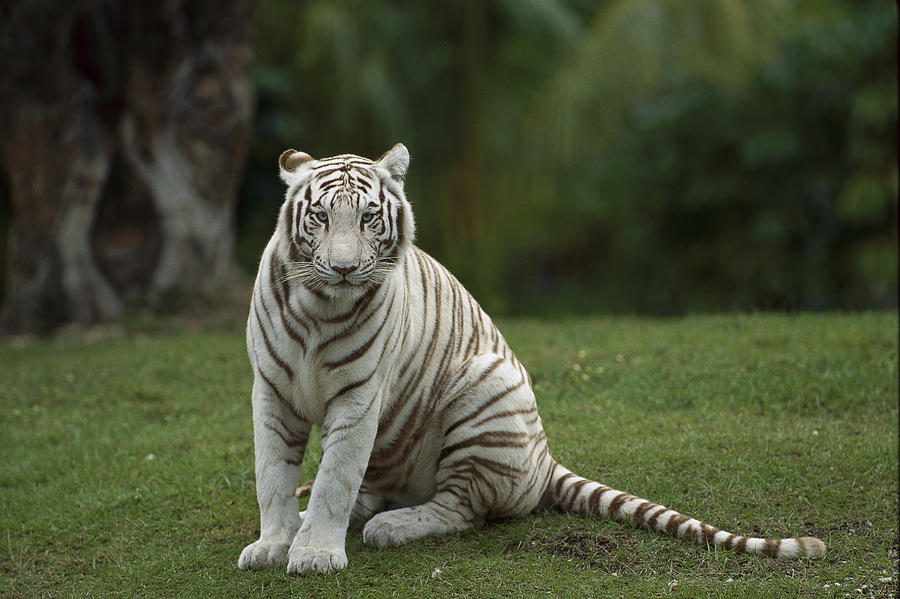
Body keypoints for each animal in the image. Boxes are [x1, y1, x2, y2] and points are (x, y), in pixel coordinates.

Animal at [237, 143, 824, 576]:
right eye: (319, 216)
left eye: (367, 219)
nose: (342, 269)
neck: (319, 306)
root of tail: (545, 459)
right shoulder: (269, 389)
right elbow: (273, 474)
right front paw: (276, 543)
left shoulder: (359, 397)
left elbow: (335, 477)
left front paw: (314, 554)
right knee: (375, 487)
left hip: (483, 389)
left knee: (461, 508)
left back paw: (391, 527)